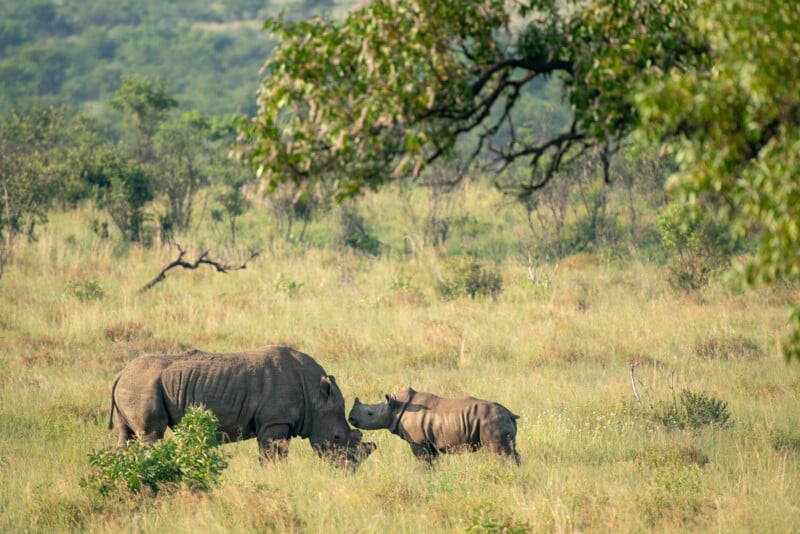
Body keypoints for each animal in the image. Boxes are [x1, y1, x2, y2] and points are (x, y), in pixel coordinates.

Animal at [107, 348, 378, 468]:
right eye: (337, 436)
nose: (349, 469)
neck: (315, 395)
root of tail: (120, 374)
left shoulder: (276, 422)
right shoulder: (274, 422)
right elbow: (272, 455)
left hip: (135, 383)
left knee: (126, 436)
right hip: (142, 383)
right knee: (150, 435)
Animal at [348, 388, 520, 462]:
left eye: (370, 414)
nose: (350, 418)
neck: (394, 408)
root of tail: (510, 414)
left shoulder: (417, 441)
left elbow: (424, 461)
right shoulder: (430, 442)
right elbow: (434, 461)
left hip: (493, 420)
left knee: (503, 452)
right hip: (498, 419)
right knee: (511, 450)